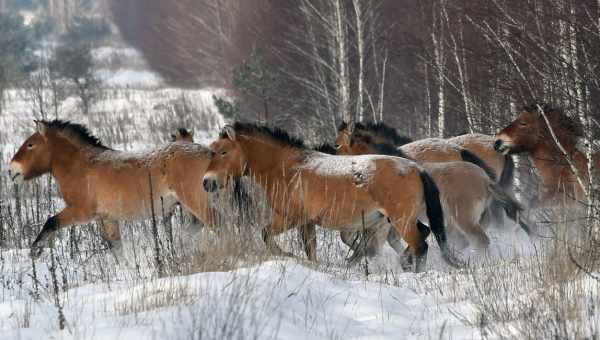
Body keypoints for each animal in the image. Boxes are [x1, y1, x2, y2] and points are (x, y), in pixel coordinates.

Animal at [202, 121, 460, 270]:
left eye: (223, 152)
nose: (207, 182)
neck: (287, 169)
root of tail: (417, 169)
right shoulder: (306, 223)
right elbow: (310, 249)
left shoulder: (289, 218)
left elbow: (265, 234)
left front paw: (286, 254)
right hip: (398, 219)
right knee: (423, 234)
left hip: (401, 220)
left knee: (420, 246)